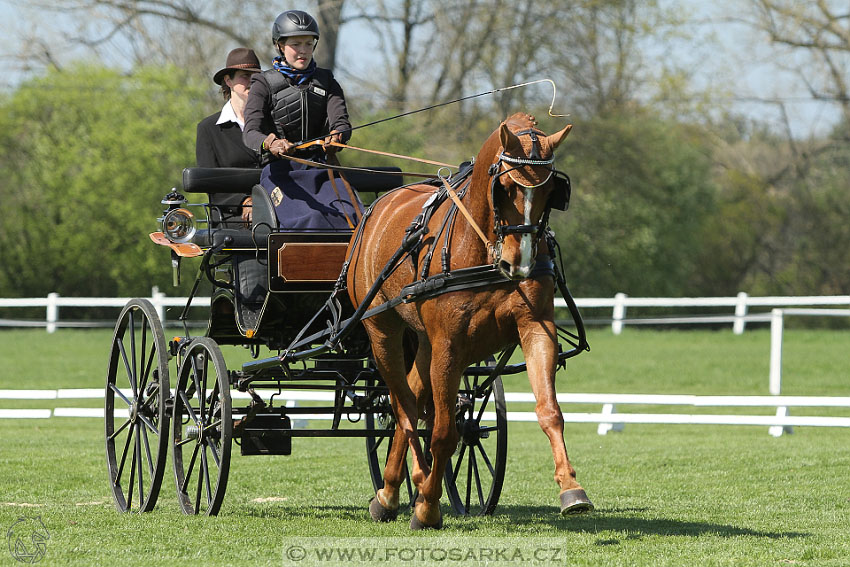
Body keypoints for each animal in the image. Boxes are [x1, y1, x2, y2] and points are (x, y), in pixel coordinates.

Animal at [344, 113, 588, 532]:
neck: (481, 248)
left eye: (550, 192)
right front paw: (427, 508)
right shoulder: (449, 345)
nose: (519, 263)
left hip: (424, 342)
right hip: (383, 332)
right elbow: (443, 431)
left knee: (411, 397)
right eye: (505, 187)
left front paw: (571, 489)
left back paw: (391, 491)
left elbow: (549, 411)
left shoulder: (535, 326)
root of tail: (377, 208)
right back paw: (409, 487)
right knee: (403, 409)